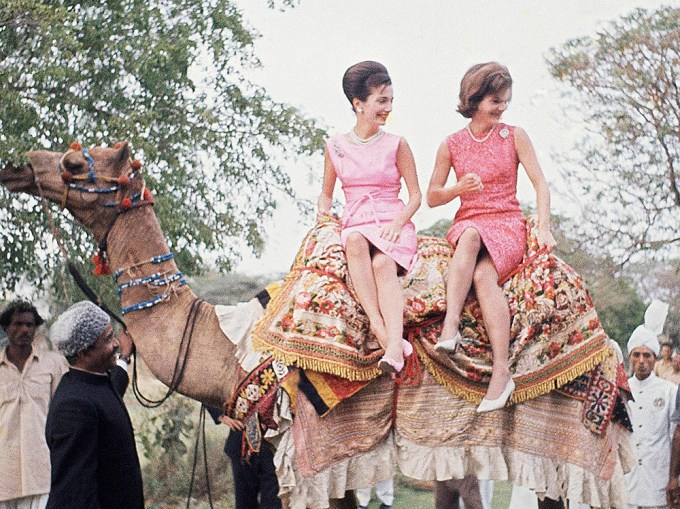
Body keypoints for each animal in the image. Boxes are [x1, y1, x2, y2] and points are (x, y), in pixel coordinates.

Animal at [1, 142, 632, 508]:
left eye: (74, 162)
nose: (16, 164)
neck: (232, 344)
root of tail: (606, 340)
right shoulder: (323, 451)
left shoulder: (305, 445)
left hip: (567, 430)